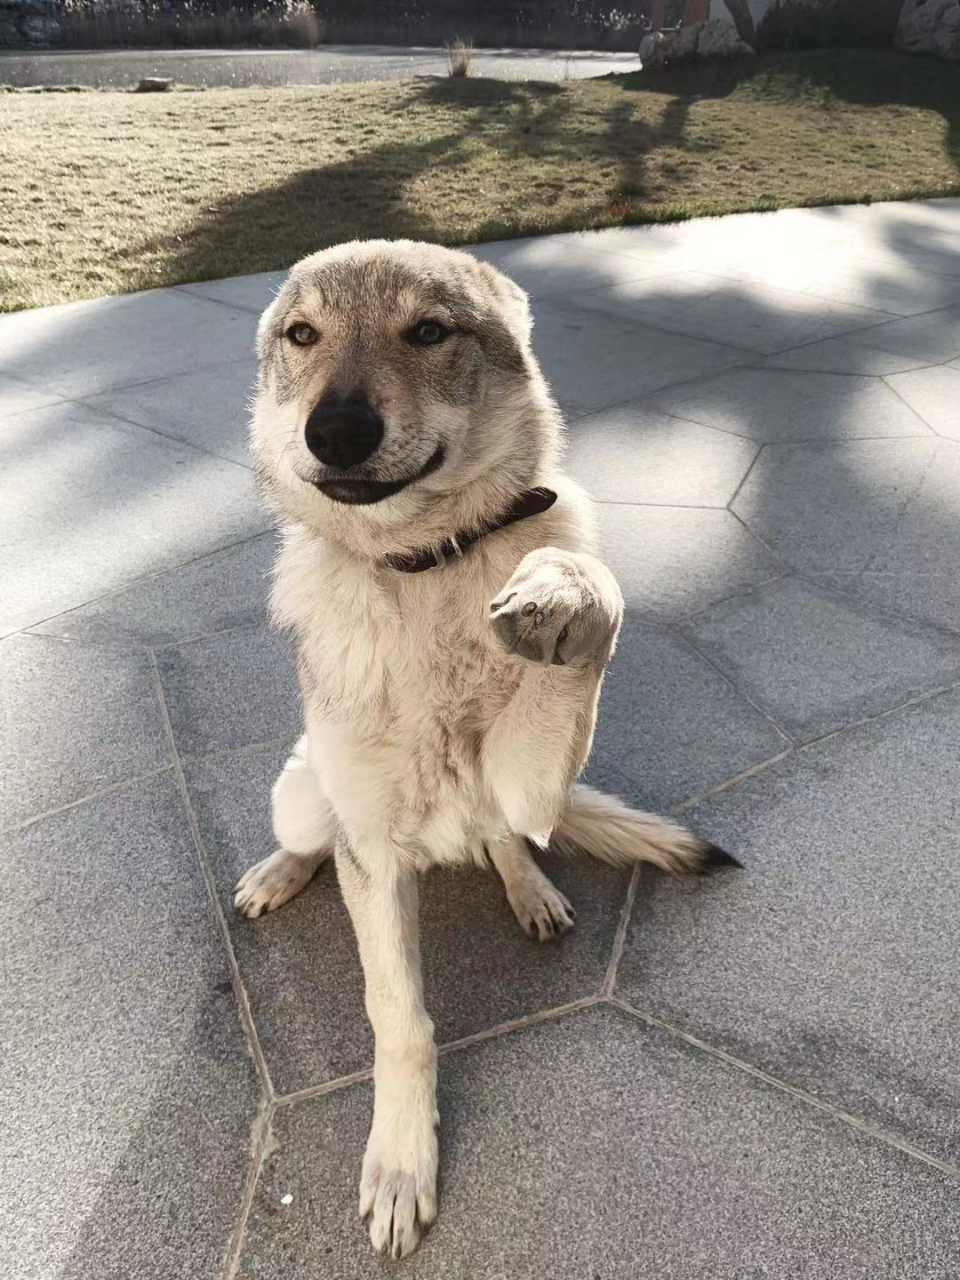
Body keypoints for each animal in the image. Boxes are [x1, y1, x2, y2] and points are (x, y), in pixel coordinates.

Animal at [235, 240, 737, 1259]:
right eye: (302, 336)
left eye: (429, 331)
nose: (334, 431)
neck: (423, 569)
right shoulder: (374, 852)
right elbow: (401, 1021)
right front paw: (401, 1164)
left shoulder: (531, 768)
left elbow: (588, 589)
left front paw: (557, 587)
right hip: (302, 790)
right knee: (312, 841)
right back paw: (277, 874)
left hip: (514, 800)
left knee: (507, 839)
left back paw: (530, 890)